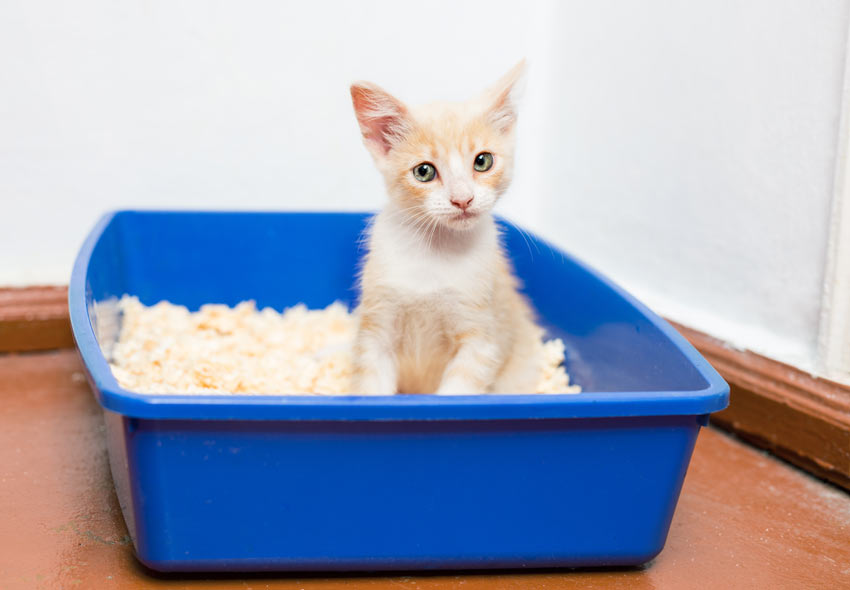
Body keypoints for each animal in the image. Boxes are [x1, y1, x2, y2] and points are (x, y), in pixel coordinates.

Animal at [346, 62, 540, 396]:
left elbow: (456, 394)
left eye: (483, 161)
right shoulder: (376, 329)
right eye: (423, 171)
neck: (435, 251)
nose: (463, 199)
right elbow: (372, 387)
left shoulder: (481, 339)